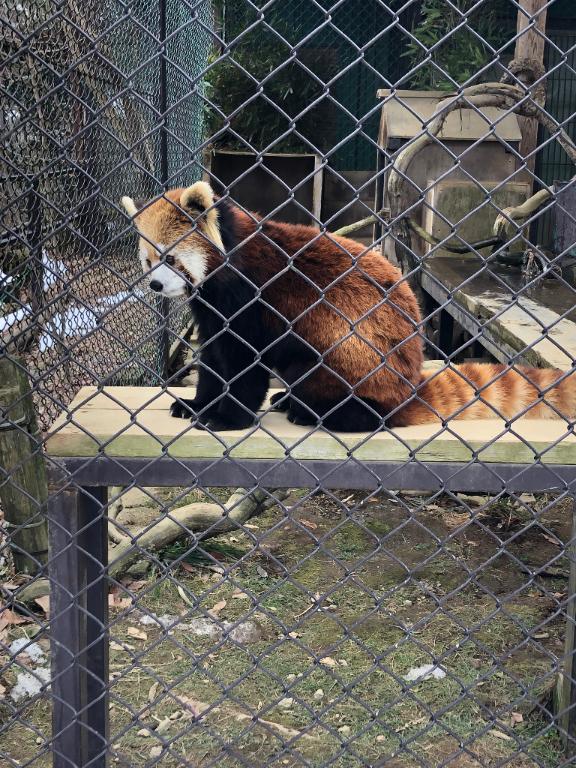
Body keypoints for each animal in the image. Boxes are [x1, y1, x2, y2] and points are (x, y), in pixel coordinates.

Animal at [121, 182, 576, 432]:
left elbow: (245, 363)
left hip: (351, 356)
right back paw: (290, 402)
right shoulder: (210, 305)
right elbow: (214, 359)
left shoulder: (249, 296)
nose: (156, 284)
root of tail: (407, 386)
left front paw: (226, 418)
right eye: (147, 260)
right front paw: (196, 404)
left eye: (171, 258)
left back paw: (323, 413)